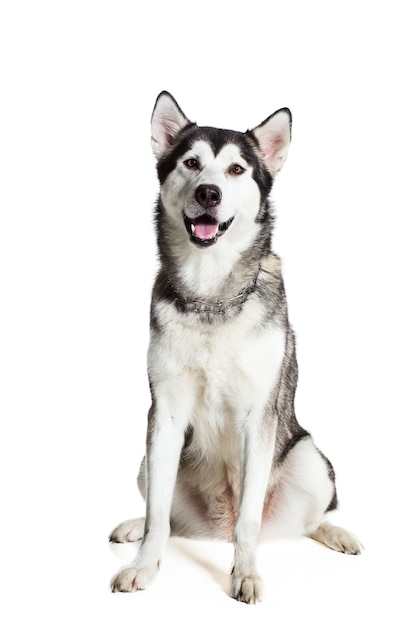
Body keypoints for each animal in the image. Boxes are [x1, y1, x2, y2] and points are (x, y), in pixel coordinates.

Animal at [109, 91, 360, 600]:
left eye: (236, 169)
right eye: (191, 163)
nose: (209, 192)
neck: (211, 297)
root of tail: (215, 527)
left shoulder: (257, 416)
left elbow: (249, 520)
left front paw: (245, 574)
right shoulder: (163, 415)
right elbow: (158, 515)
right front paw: (144, 565)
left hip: (310, 459)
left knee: (304, 522)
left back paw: (336, 533)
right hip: (147, 460)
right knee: (168, 518)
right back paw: (133, 526)